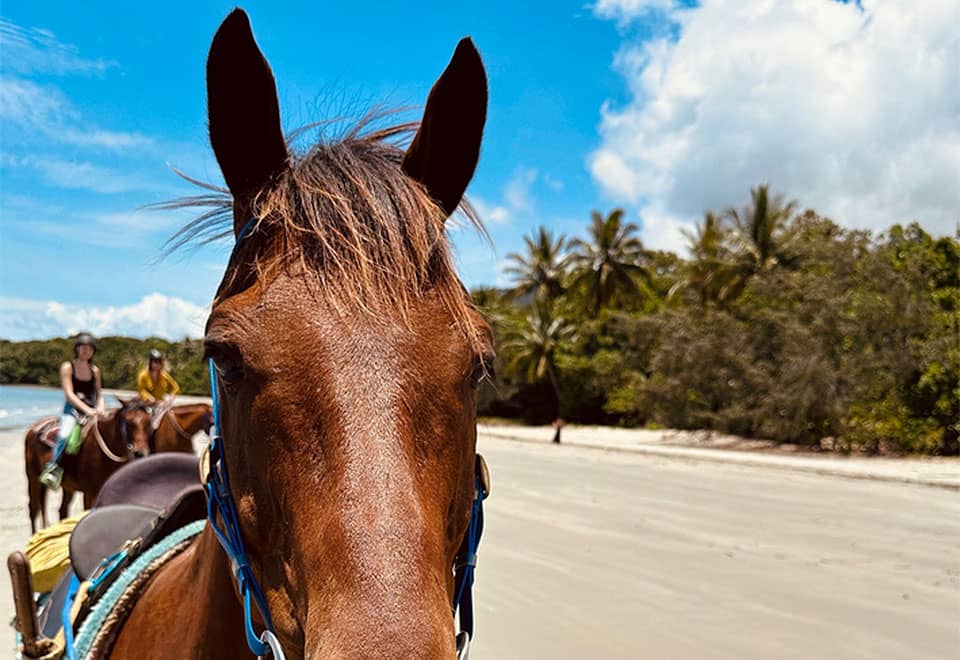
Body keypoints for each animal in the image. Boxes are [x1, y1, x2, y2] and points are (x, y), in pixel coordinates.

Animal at [24, 400, 153, 533]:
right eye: (128, 422)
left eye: (148, 423)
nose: (140, 453)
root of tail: (34, 429)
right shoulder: (89, 493)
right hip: (33, 479)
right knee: (34, 509)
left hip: (67, 487)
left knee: (60, 510)